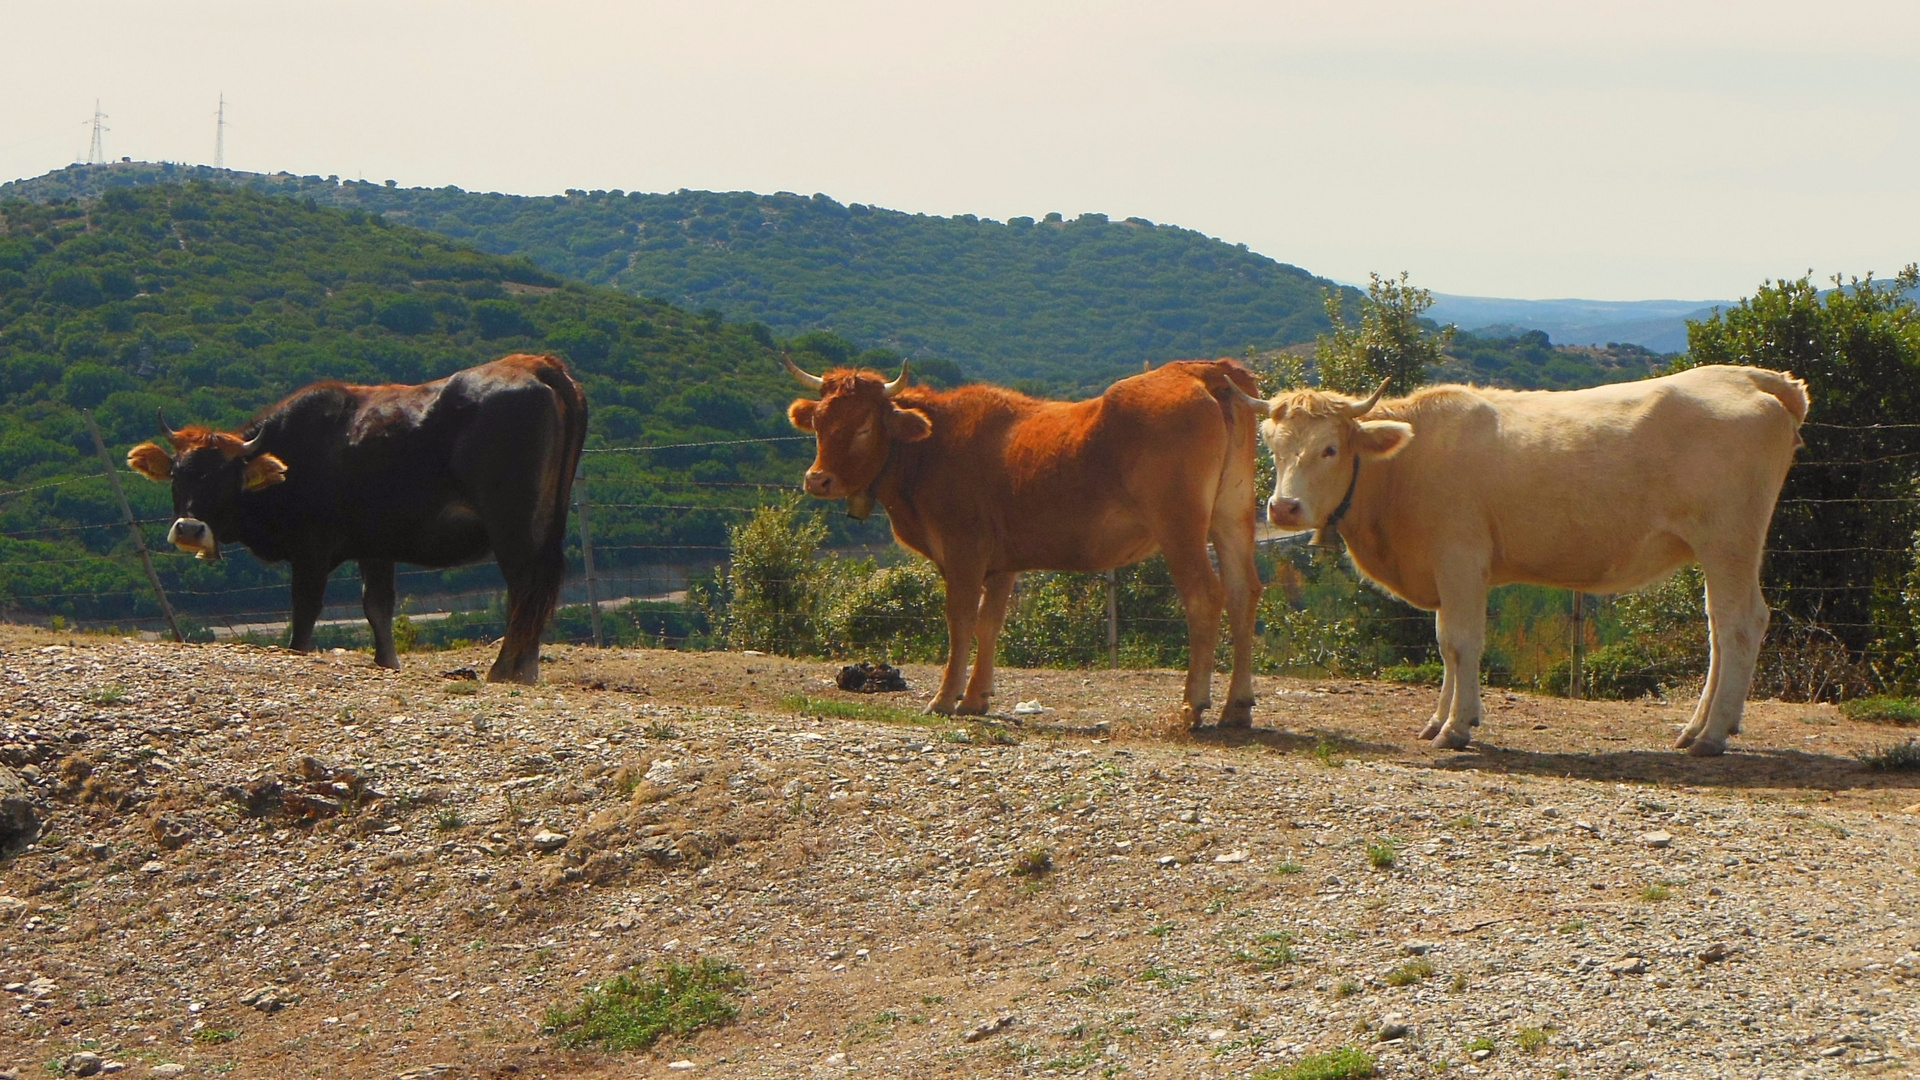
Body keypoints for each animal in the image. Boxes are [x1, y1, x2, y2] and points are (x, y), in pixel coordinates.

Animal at [126, 353, 583, 676]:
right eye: (178, 474)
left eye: (226, 478)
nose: (189, 529)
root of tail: (535, 364)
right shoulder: (375, 546)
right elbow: (377, 607)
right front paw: (387, 662)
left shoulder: (310, 552)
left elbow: (306, 612)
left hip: (513, 526)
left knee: (525, 585)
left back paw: (506, 669)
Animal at [787, 355, 1267, 722]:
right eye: (819, 422)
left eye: (865, 426)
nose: (817, 479)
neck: (932, 447)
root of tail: (1201, 369)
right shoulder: (1002, 562)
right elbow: (990, 623)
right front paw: (976, 698)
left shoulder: (963, 551)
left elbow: (961, 620)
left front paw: (944, 698)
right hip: (1232, 516)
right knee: (1243, 592)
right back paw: (1237, 707)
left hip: (1179, 526)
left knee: (1204, 596)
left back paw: (1193, 705)